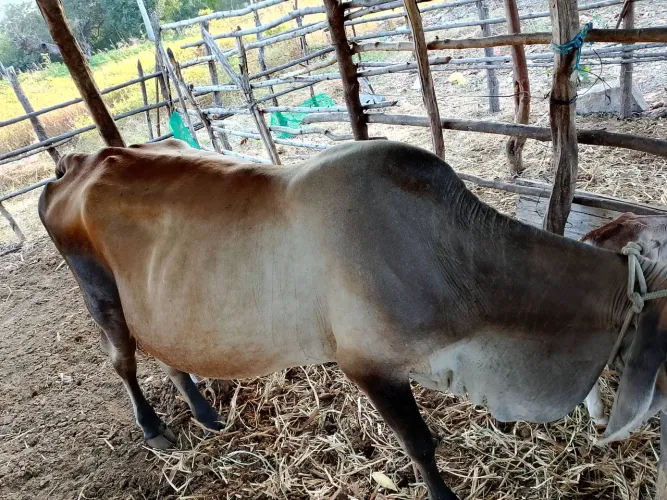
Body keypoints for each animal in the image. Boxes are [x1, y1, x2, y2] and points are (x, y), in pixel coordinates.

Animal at [39, 139, 667, 500]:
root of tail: (76, 161)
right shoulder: (368, 365)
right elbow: (421, 445)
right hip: (100, 295)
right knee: (122, 360)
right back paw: (155, 427)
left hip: (154, 308)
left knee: (167, 355)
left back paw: (205, 412)